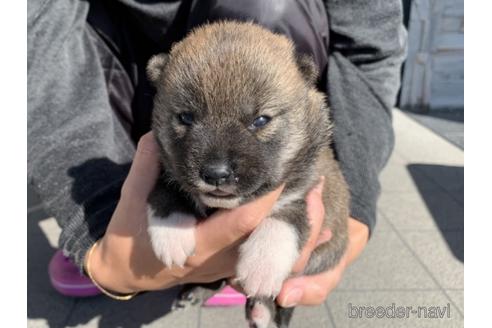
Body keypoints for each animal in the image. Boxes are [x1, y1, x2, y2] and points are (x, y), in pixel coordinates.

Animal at [146, 21, 350, 328]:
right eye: (186, 117)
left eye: (260, 120)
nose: (216, 174)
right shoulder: (168, 165)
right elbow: (166, 187)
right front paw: (172, 232)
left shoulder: (305, 188)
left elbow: (285, 219)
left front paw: (262, 267)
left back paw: (262, 310)